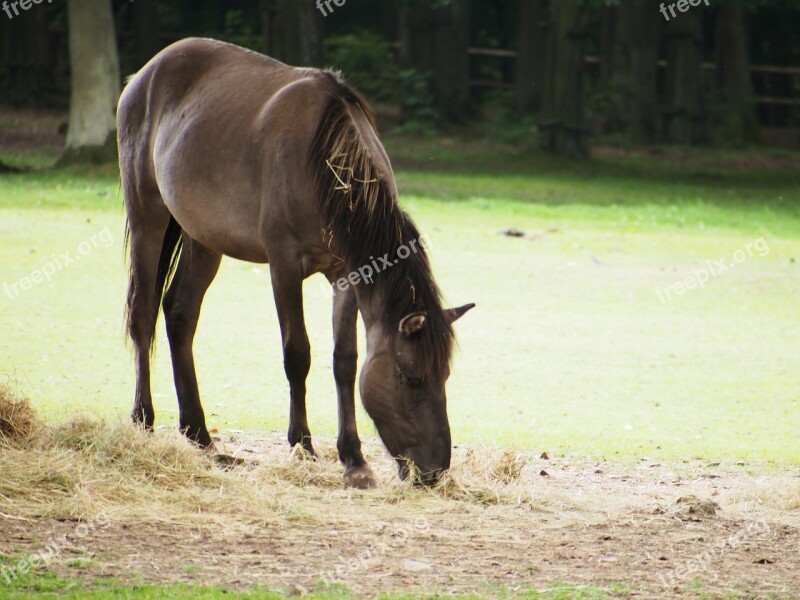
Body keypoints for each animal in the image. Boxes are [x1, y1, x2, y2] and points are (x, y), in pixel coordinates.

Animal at [115, 37, 472, 488]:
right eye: (409, 377)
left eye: (444, 375)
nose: (434, 470)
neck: (326, 167)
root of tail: (144, 74)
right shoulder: (283, 266)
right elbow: (297, 353)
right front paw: (301, 443)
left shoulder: (347, 275)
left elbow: (345, 361)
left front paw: (354, 458)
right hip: (148, 216)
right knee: (143, 313)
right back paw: (143, 418)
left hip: (203, 238)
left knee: (180, 313)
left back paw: (198, 431)